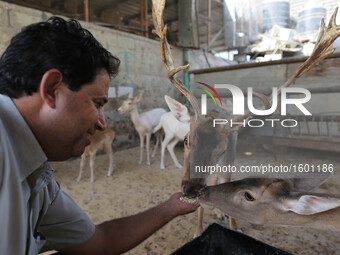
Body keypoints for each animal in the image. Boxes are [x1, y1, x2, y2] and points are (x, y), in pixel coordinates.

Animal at [153, 0, 340, 236]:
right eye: (186, 140)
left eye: (222, 149)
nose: (190, 189)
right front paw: (197, 231)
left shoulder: (228, 164)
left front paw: (232, 225)